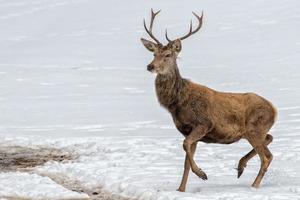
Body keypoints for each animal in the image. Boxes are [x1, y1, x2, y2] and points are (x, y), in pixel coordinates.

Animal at [141, 9, 276, 192]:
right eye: (154, 54)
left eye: (168, 55)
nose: (150, 66)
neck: (176, 104)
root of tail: (274, 110)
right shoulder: (188, 130)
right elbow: (185, 161)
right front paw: (181, 189)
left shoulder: (204, 123)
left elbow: (185, 145)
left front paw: (202, 174)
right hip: (255, 131)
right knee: (269, 139)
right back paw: (241, 166)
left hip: (255, 128)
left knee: (267, 157)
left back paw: (253, 185)